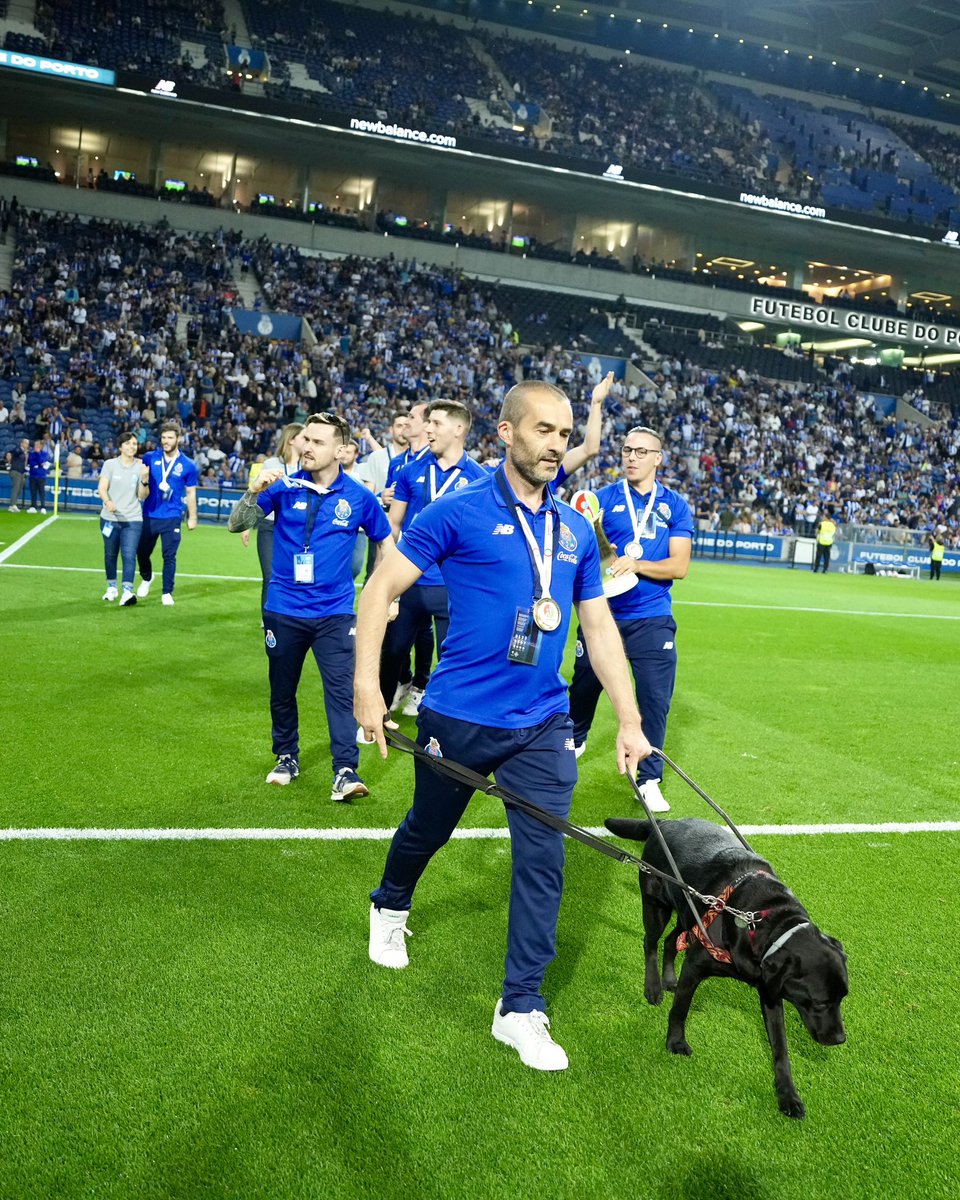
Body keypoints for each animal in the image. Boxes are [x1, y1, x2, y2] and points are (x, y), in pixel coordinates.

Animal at [607, 811, 849, 1118]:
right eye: (820, 1003)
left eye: (843, 998)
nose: (840, 1038)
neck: (766, 923)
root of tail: (663, 823)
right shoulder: (695, 965)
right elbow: (680, 1010)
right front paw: (675, 1043)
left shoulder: (771, 991)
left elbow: (781, 1048)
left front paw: (788, 1095)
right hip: (655, 903)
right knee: (650, 942)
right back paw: (653, 987)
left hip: (687, 913)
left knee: (671, 941)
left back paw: (668, 979)